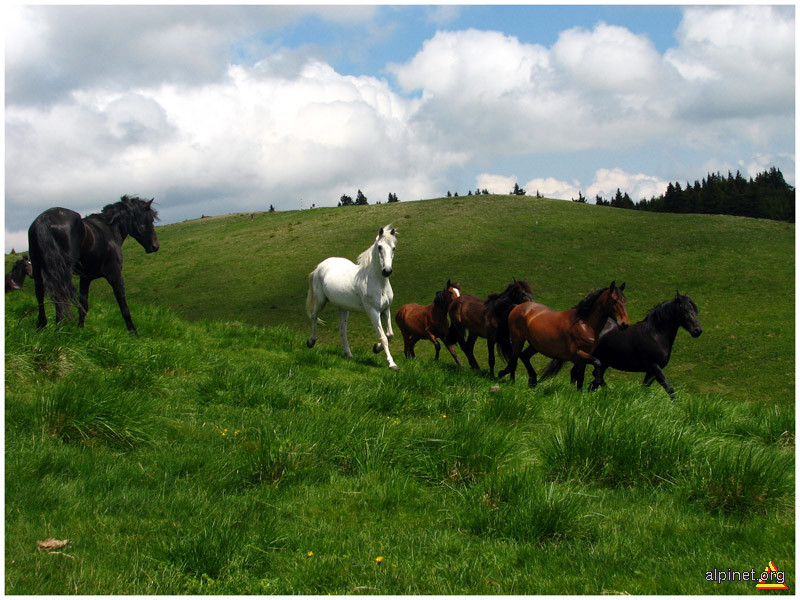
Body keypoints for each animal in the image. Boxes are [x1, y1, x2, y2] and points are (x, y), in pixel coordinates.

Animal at [28, 198, 159, 336]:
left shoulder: (86, 278)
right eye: (150, 220)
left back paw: (42, 325)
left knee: (40, 293)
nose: (155, 246)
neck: (110, 230)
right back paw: (59, 326)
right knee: (59, 294)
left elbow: (83, 306)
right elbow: (124, 307)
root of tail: (45, 219)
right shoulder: (116, 276)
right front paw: (133, 333)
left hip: (37, 267)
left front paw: (80, 330)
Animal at [304, 224, 398, 368]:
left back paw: (348, 354)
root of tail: (320, 266)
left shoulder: (386, 310)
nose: (387, 271)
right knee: (314, 316)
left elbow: (390, 335)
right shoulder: (373, 312)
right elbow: (383, 337)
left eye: (393, 248)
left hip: (343, 308)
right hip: (321, 301)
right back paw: (311, 342)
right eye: (379, 247)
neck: (378, 282)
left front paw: (376, 348)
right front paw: (392, 364)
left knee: (342, 330)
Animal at [496, 282, 628, 390]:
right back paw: (508, 379)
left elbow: (580, 377)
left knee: (524, 356)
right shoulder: (576, 354)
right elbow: (597, 362)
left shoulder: (584, 356)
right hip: (518, 340)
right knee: (513, 361)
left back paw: (532, 381)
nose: (624, 324)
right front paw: (597, 382)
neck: (584, 324)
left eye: (624, 300)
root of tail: (518, 306)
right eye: (614, 300)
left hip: (535, 345)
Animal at [540, 292, 704, 396]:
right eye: (683, 309)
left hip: (604, 361)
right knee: (579, 373)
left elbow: (645, 388)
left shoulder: (651, 371)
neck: (655, 334)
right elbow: (670, 389)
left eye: (695, 309)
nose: (697, 330)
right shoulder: (654, 367)